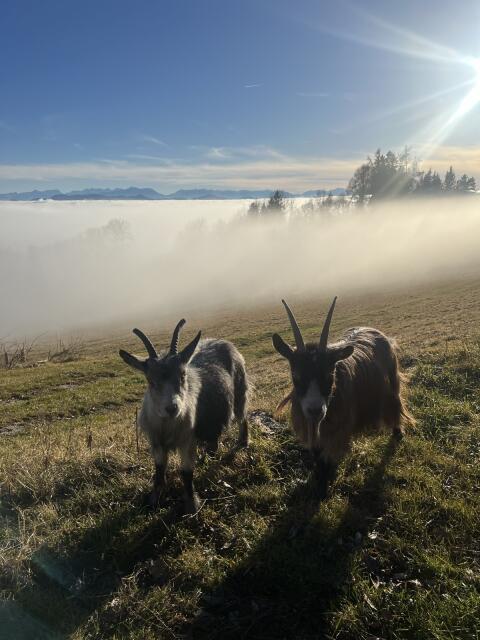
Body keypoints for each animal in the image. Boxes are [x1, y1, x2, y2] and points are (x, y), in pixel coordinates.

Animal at [119, 320, 249, 513]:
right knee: (214, 437)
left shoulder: (187, 441)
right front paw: (153, 499)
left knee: (242, 416)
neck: (167, 426)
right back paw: (208, 455)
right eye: (150, 380)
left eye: (182, 375)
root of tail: (223, 341)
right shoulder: (156, 443)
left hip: (240, 390)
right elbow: (159, 470)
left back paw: (243, 441)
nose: (172, 408)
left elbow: (186, 473)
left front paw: (191, 506)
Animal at [272, 297, 414, 498]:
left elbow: (328, 459)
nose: (315, 410)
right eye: (295, 376)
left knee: (395, 403)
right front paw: (319, 484)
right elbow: (318, 458)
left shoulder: (337, 431)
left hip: (392, 381)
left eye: (329, 375)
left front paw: (323, 489)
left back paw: (398, 433)